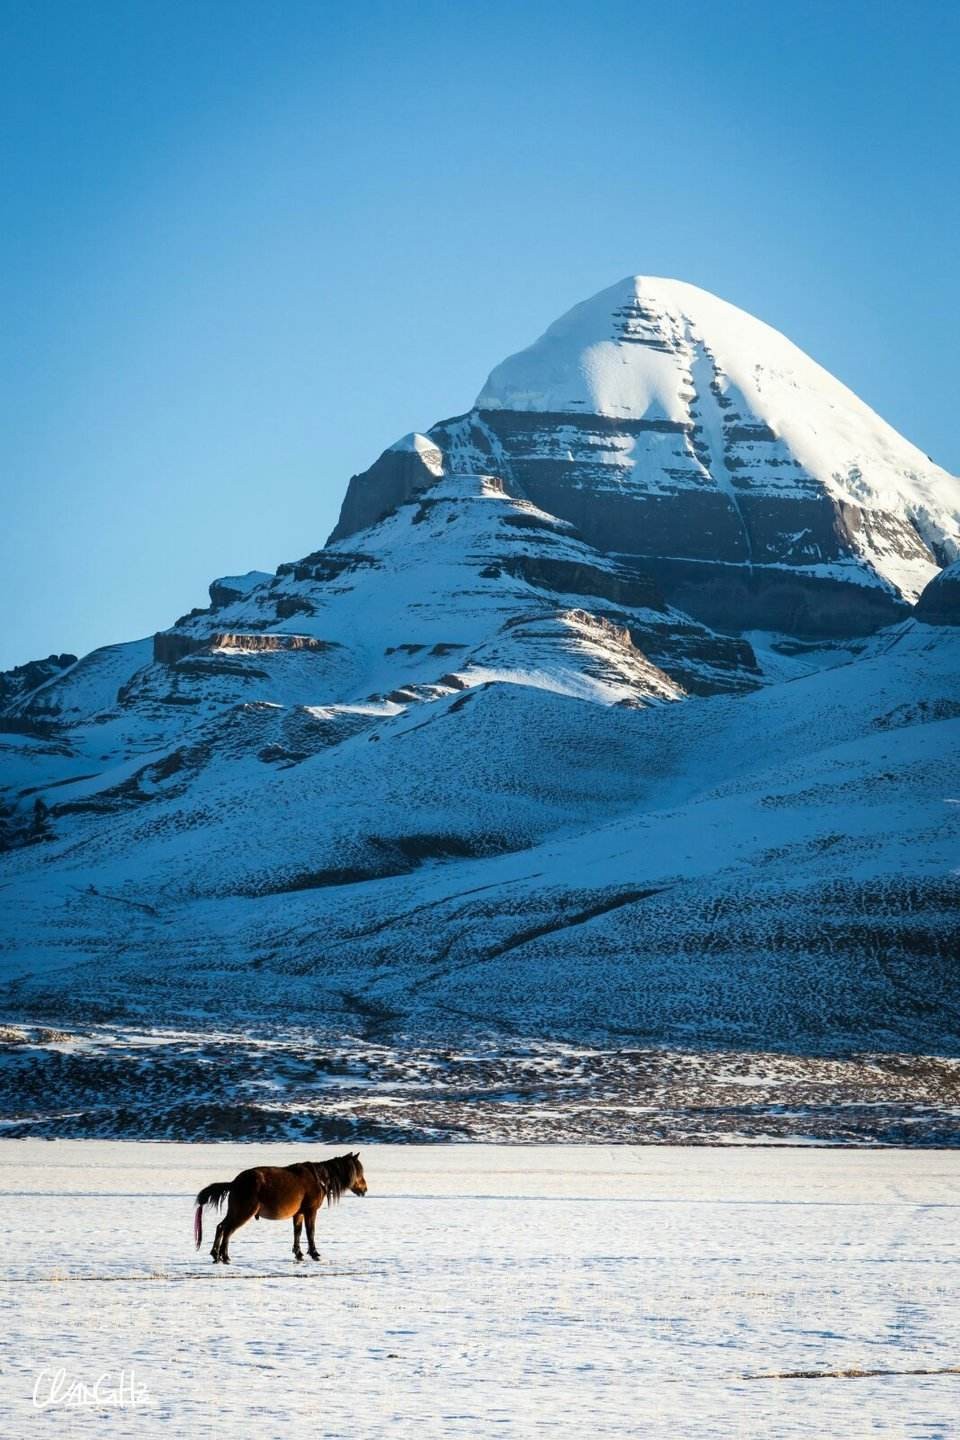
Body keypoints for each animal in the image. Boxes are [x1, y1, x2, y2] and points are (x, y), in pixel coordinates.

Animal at [192, 1152, 365, 1267]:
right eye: (359, 1172)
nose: (365, 1189)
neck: (319, 1178)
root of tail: (234, 1183)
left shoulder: (299, 1213)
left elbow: (297, 1232)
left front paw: (298, 1254)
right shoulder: (310, 1211)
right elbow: (310, 1232)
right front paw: (314, 1253)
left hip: (235, 1210)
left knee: (221, 1226)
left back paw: (216, 1255)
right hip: (244, 1211)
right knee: (228, 1230)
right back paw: (225, 1256)